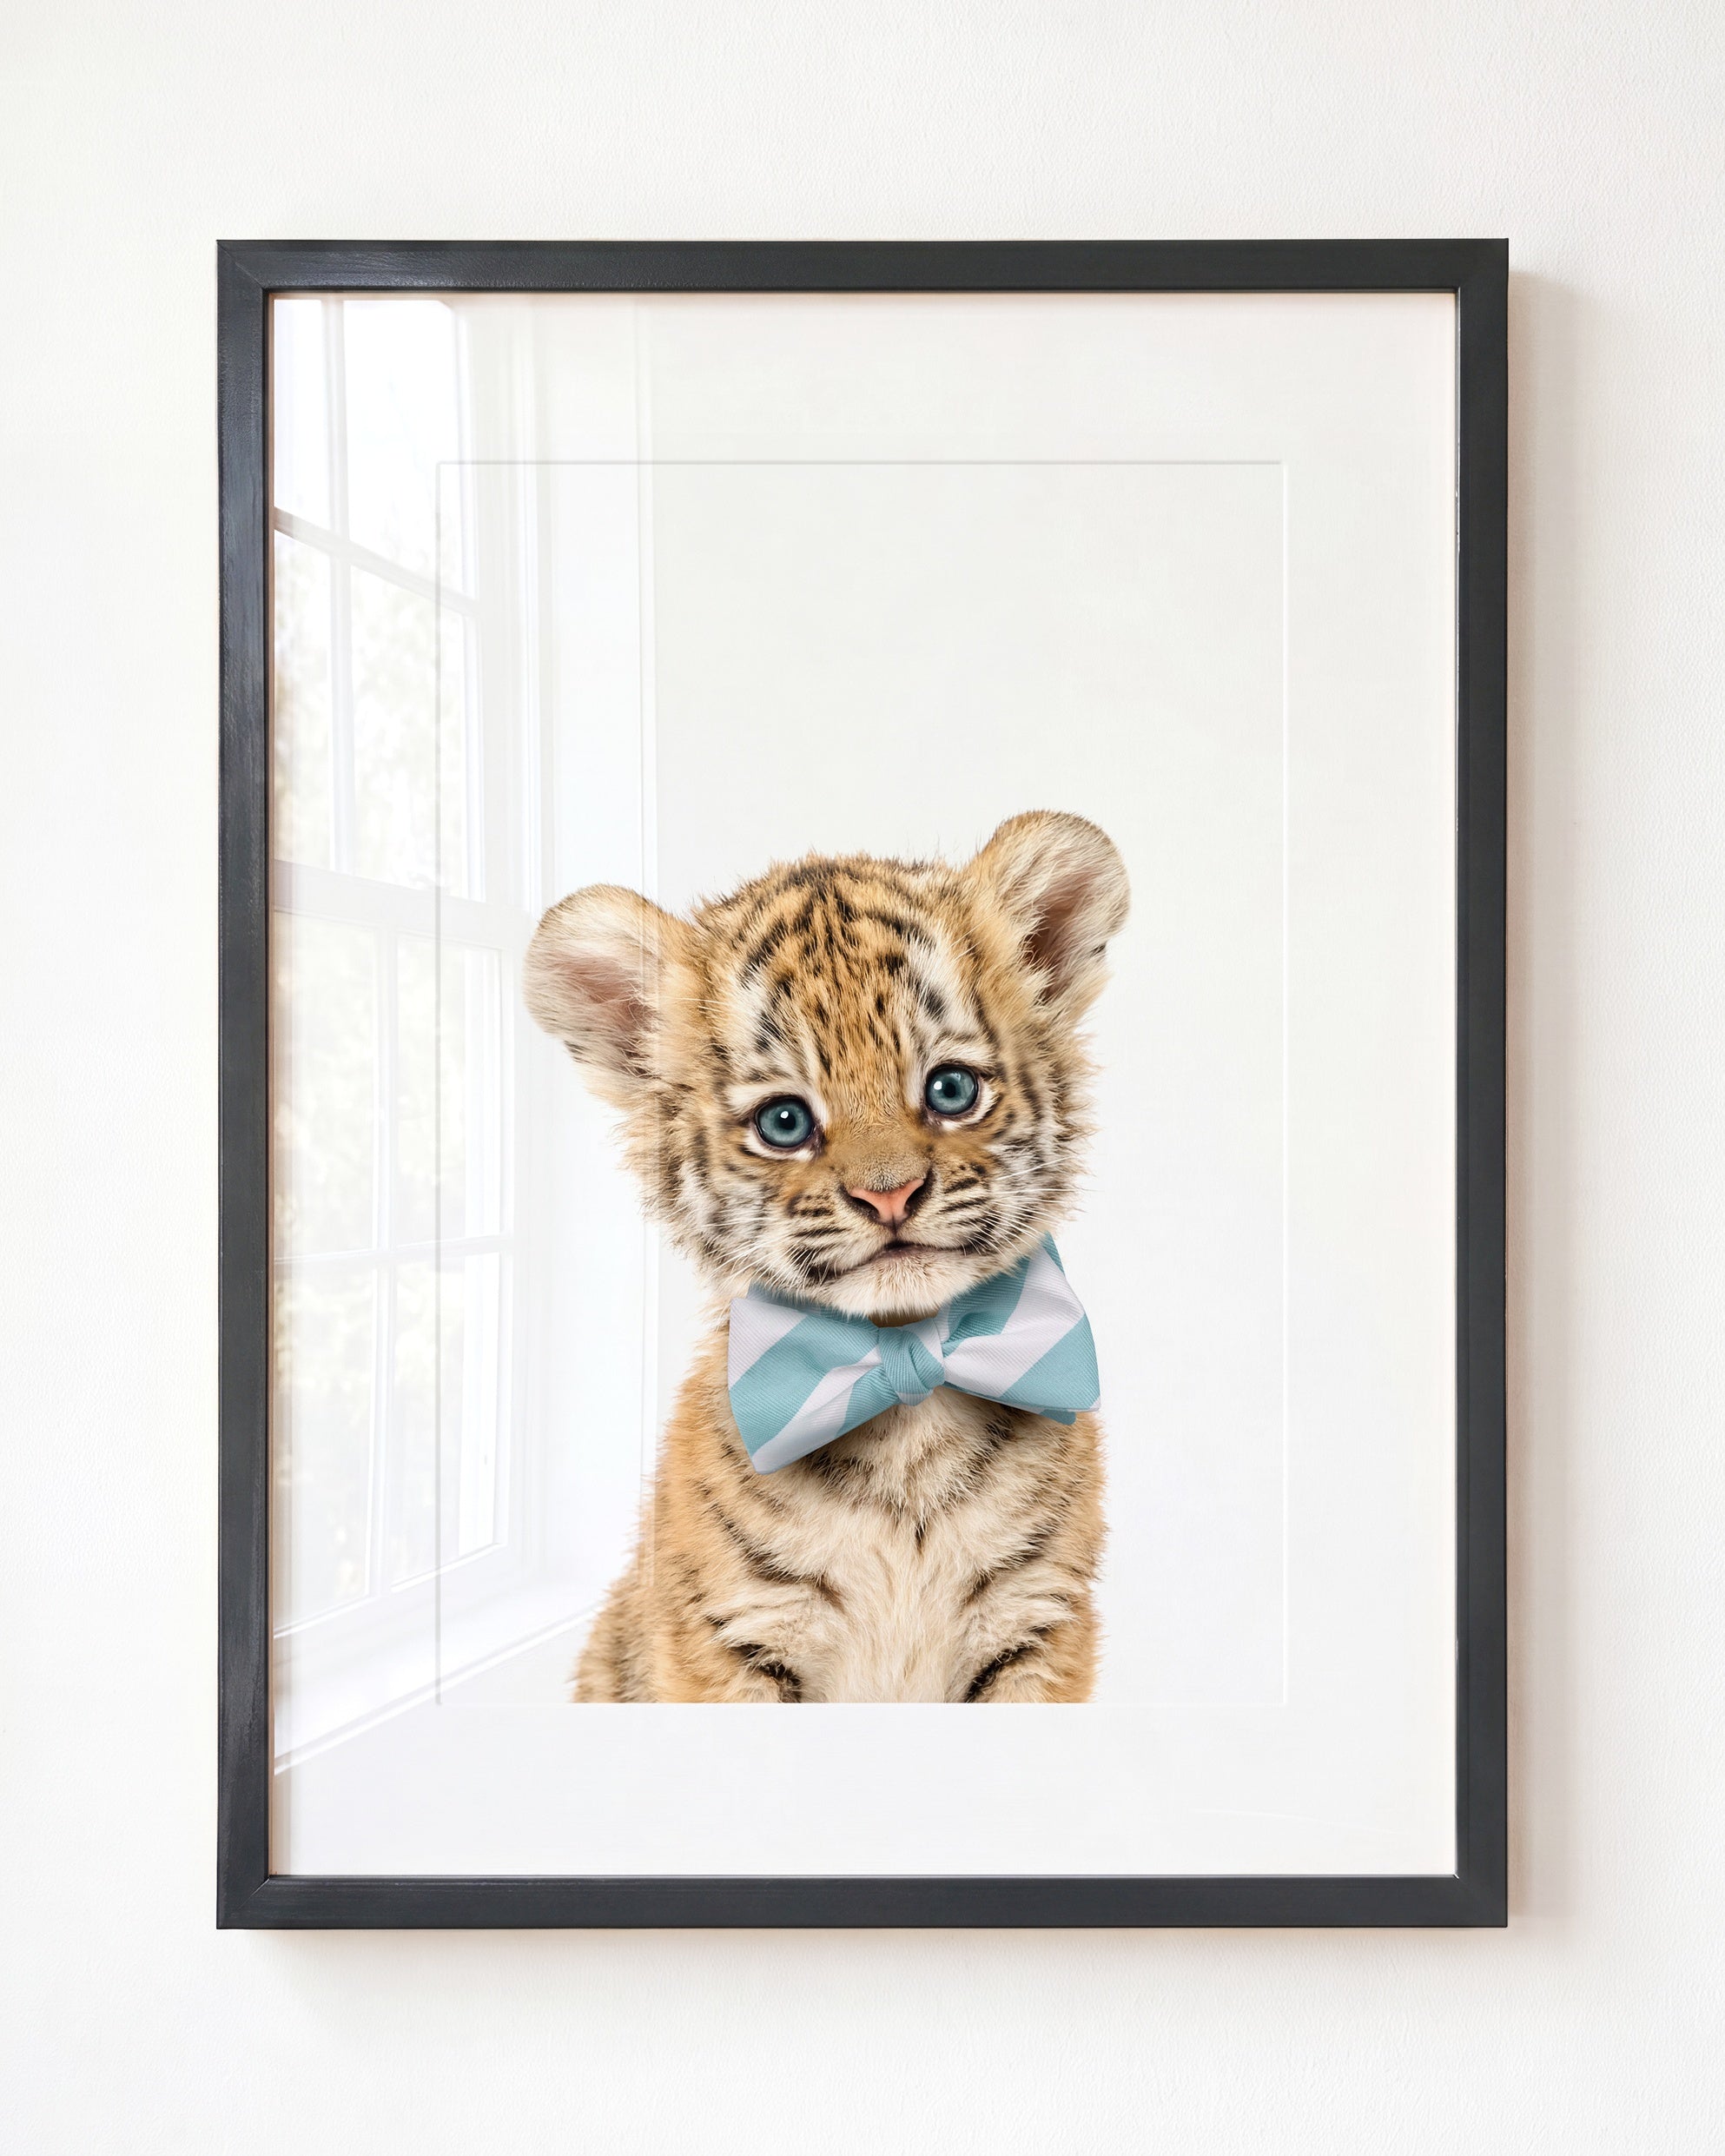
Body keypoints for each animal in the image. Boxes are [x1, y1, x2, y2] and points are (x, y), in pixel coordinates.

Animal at [522, 810, 1129, 1703]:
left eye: (951, 1090)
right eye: (784, 1122)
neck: (906, 1399)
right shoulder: (731, 1638)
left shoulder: (1037, 1622)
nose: (891, 1195)